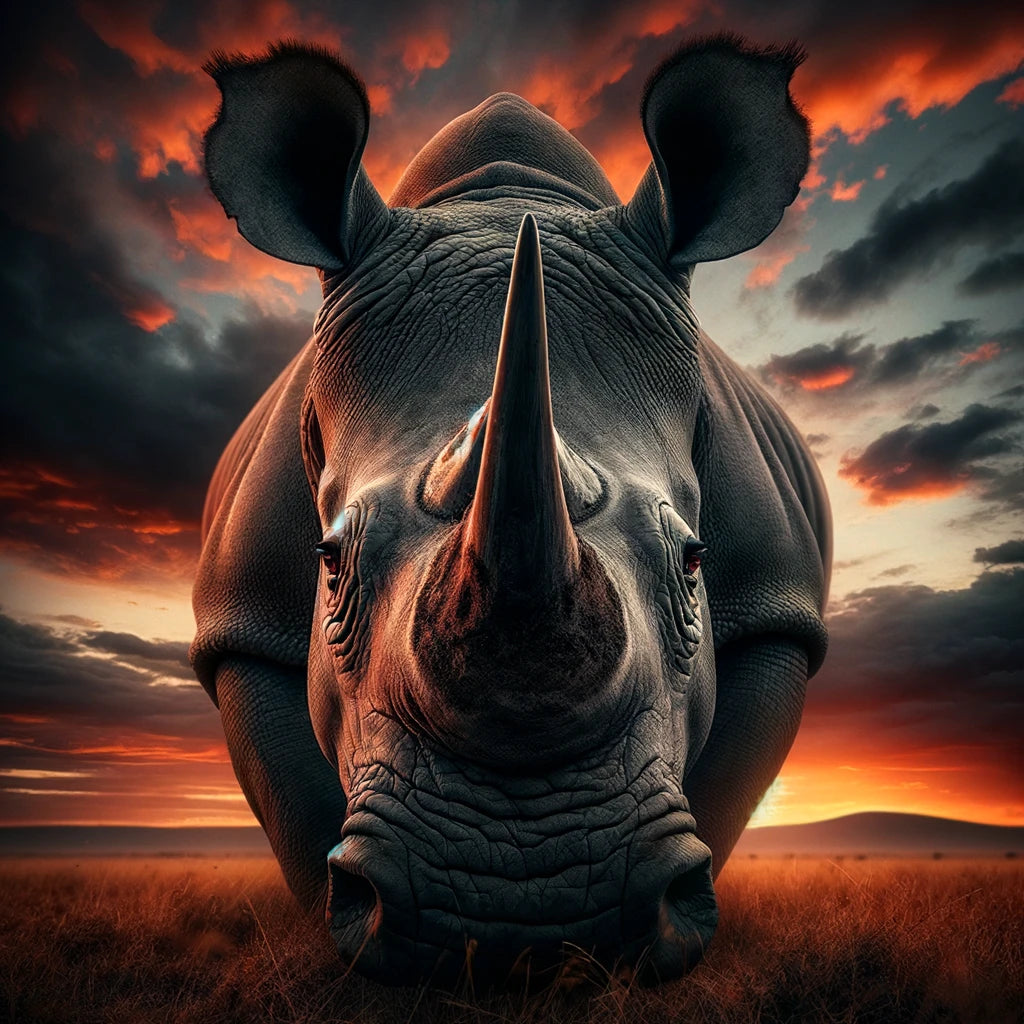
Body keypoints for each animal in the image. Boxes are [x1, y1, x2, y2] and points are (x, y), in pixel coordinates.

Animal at [191, 34, 830, 987]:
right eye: (329, 563)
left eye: (694, 561)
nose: (519, 913)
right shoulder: (244, 620)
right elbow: (302, 822)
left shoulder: (775, 607)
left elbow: (719, 797)